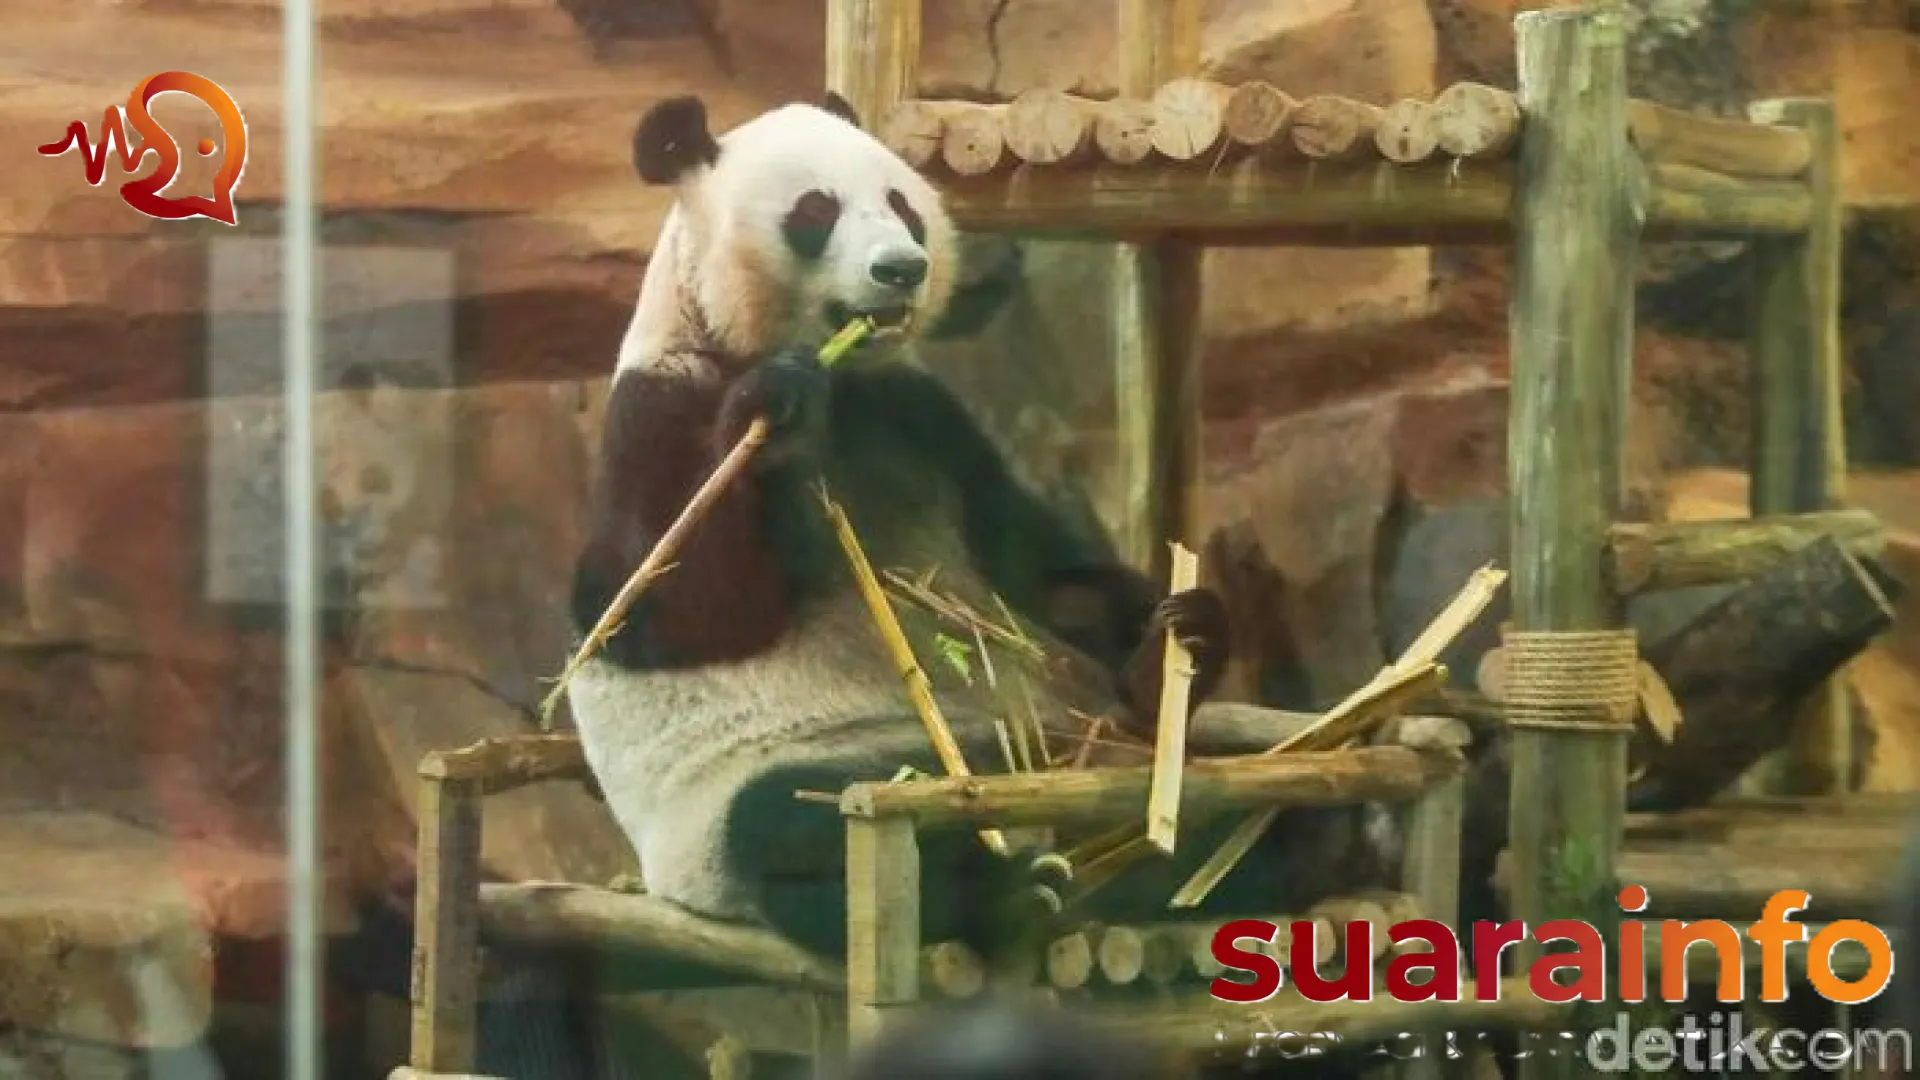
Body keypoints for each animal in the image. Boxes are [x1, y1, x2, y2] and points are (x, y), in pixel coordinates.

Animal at [566, 91, 1387, 960]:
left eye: (902, 206)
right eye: (815, 212)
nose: (902, 268)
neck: (836, 377)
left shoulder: (918, 414)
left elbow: (1032, 571)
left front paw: (1178, 637)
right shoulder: (660, 407)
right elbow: (652, 609)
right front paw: (772, 411)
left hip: (1088, 738)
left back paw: (1296, 824)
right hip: (773, 793)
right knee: (788, 827)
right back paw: (1012, 892)